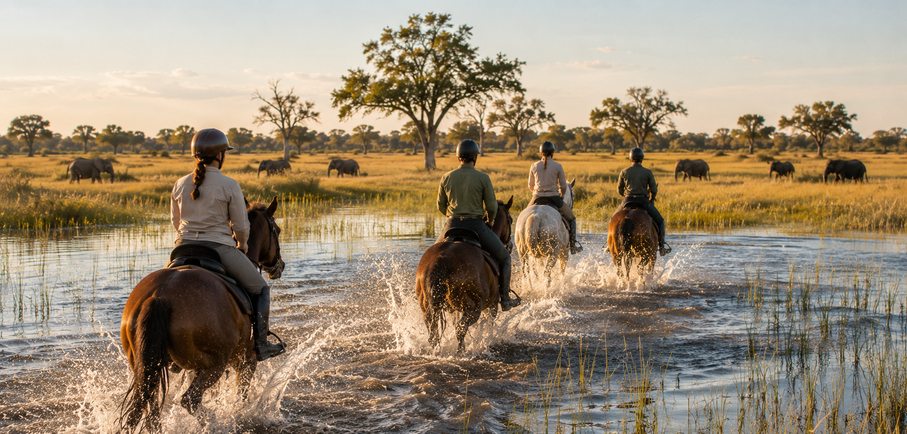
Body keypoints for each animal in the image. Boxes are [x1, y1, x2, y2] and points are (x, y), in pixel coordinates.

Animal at [118, 197, 285, 432]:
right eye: (277, 230)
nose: (280, 266)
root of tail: (160, 296)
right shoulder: (246, 360)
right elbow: (241, 396)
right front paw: (240, 415)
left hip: (147, 367)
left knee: (151, 411)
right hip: (214, 364)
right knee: (190, 400)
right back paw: (214, 421)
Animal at [416, 197, 514, 355]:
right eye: (510, 219)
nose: (509, 244)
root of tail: (442, 259)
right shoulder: (492, 305)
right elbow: (490, 324)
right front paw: (488, 341)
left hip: (427, 309)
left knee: (433, 334)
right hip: (474, 308)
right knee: (460, 329)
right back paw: (461, 351)